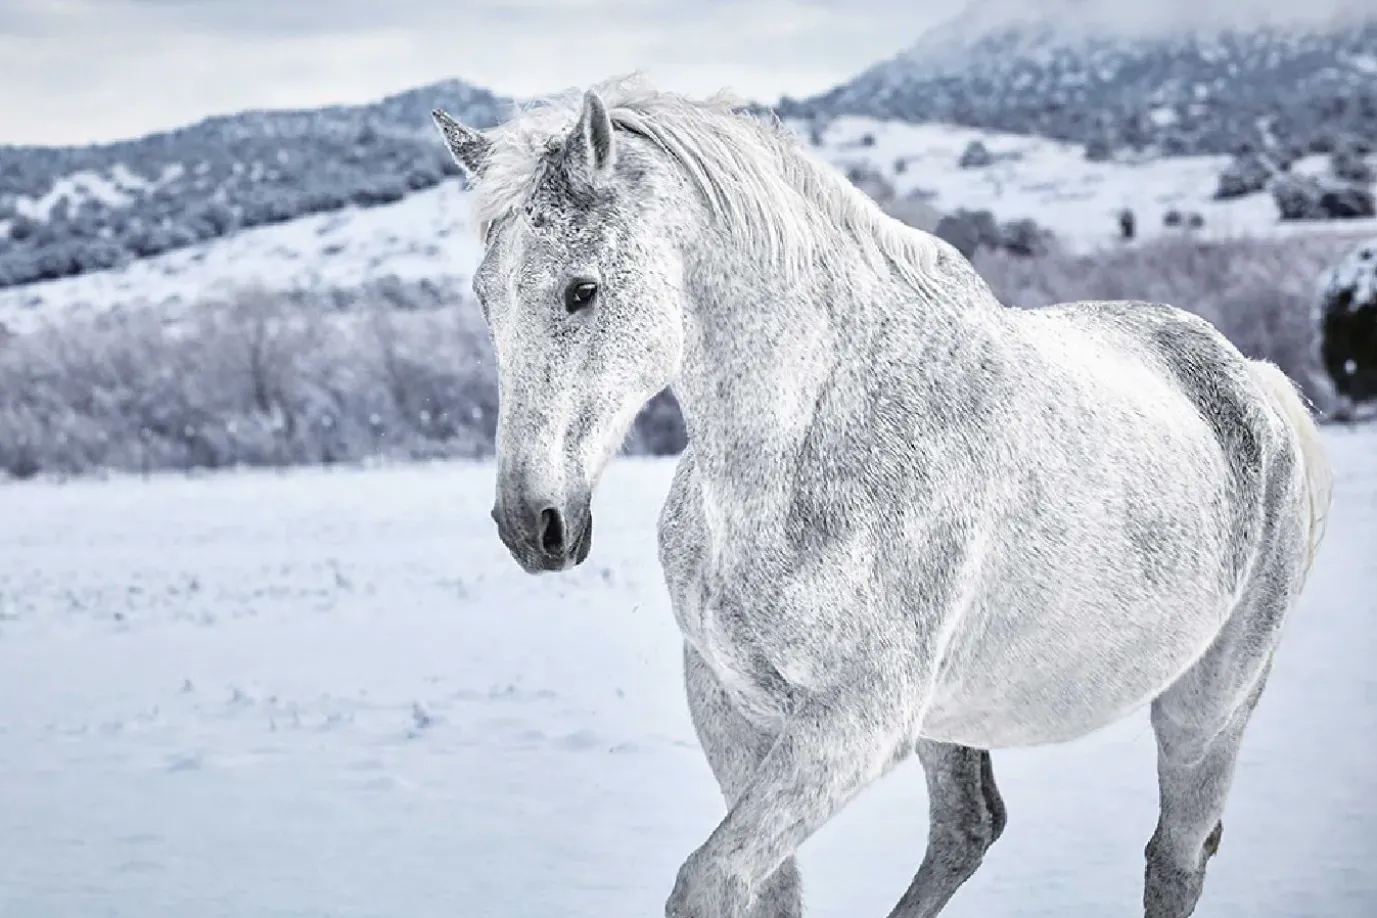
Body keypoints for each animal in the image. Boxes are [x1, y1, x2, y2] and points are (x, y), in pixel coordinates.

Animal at [430, 75, 1334, 918]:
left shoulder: (852, 726)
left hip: (1206, 708)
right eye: (484, 298)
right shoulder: (731, 706)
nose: (532, 524)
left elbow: (708, 882)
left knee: (1173, 855)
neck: (800, 448)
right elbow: (769, 891)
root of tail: (1251, 380)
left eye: (581, 291)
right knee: (968, 827)